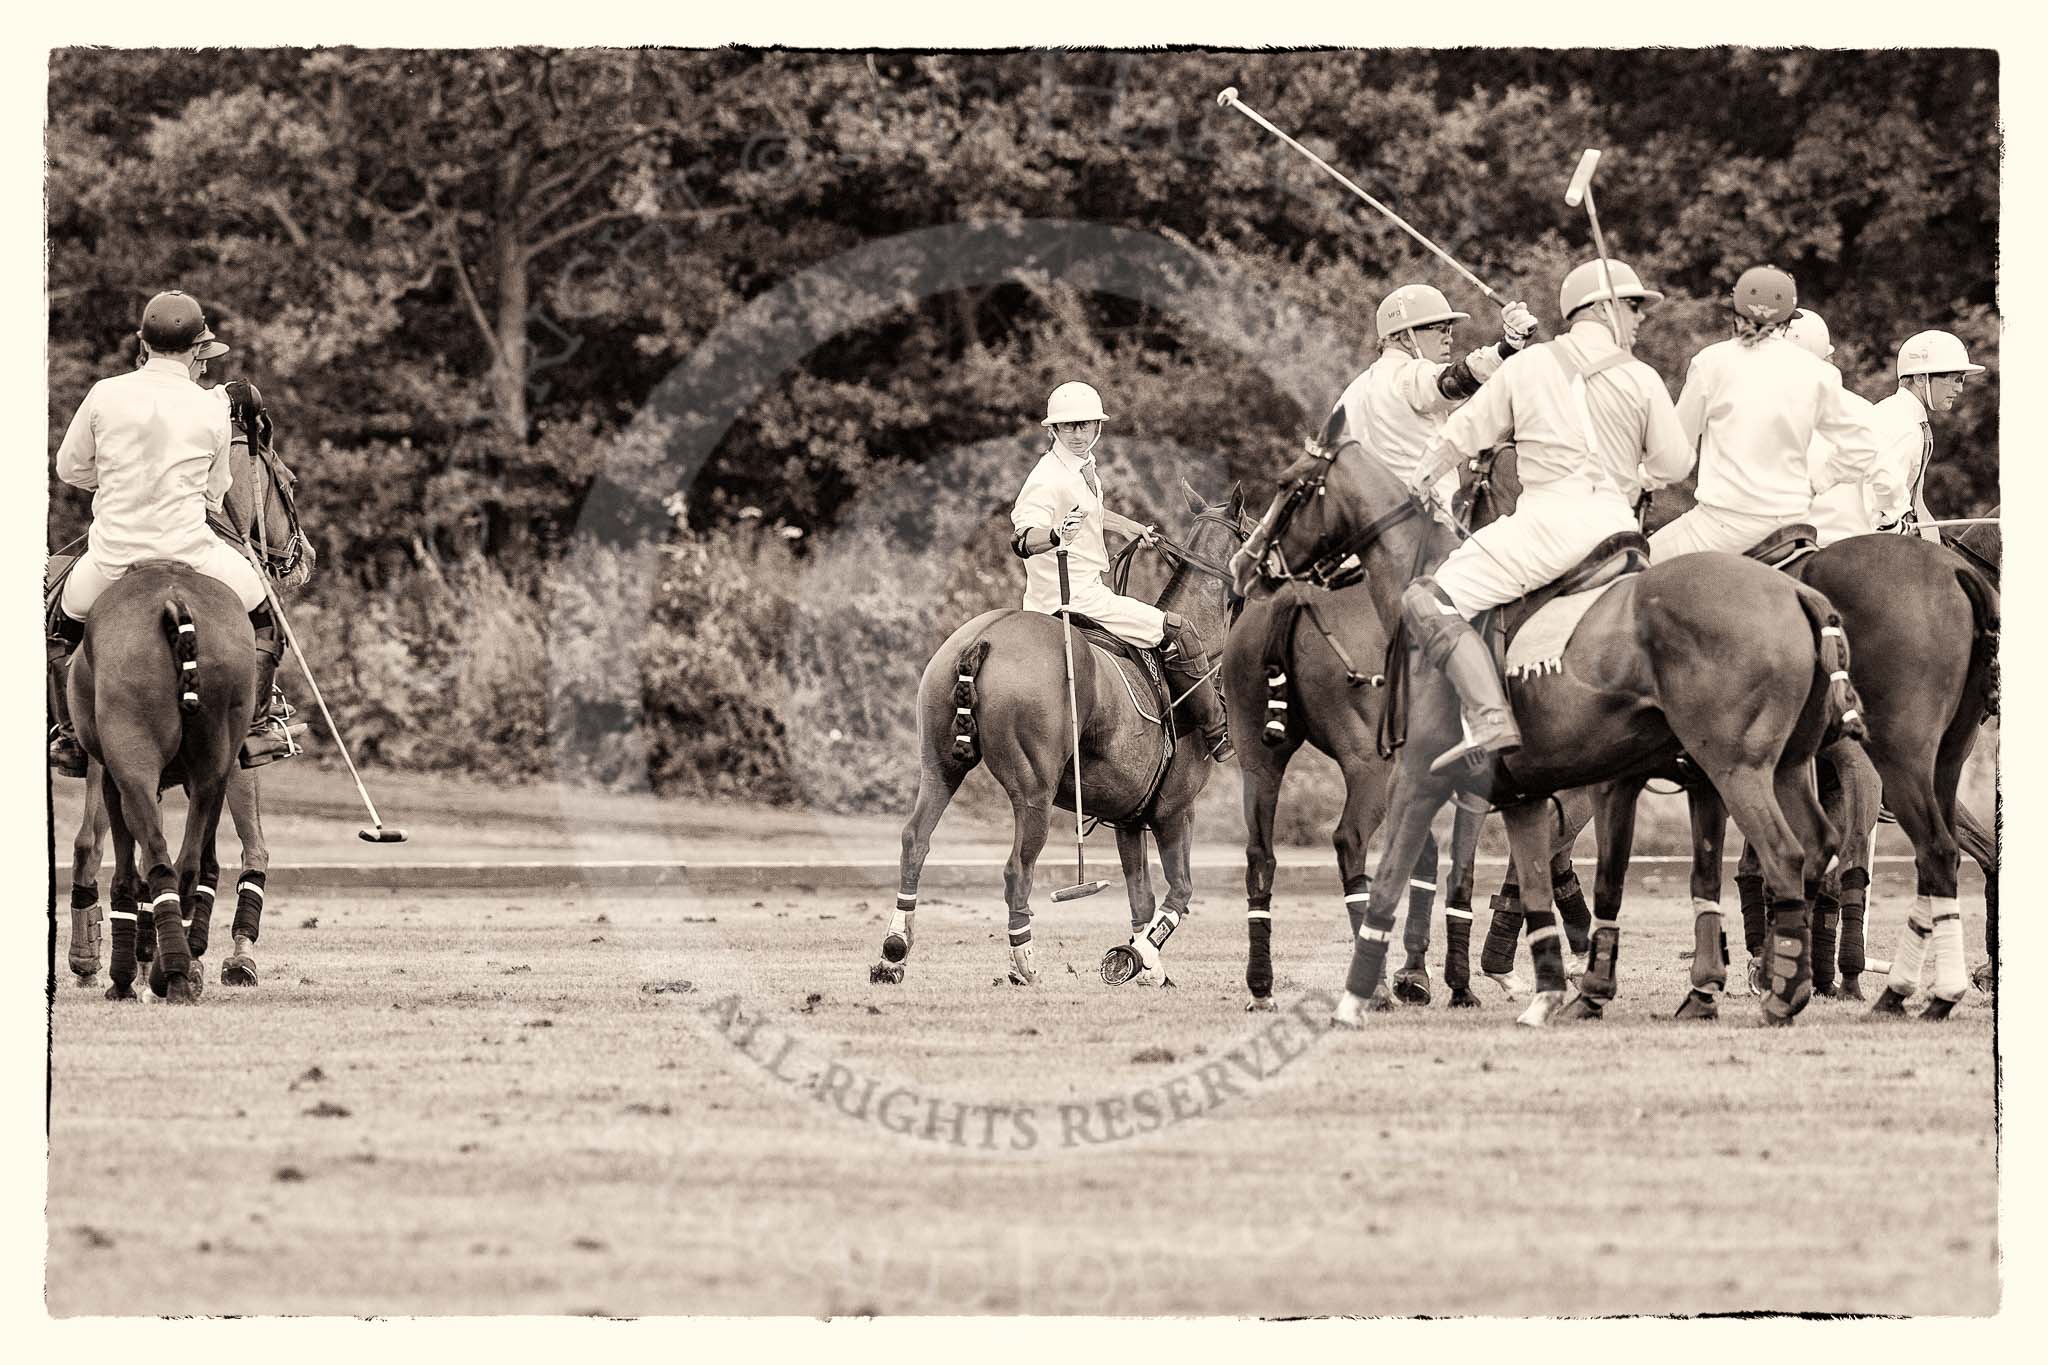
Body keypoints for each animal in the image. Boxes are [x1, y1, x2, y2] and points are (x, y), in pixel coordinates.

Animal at [72, 564, 258, 1002]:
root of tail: (174, 600)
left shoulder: (112, 773)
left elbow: (125, 869)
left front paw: (123, 977)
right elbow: (202, 862)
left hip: (132, 755)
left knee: (155, 856)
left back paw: (163, 971)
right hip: (214, 762)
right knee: (188, 866)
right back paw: (176, 970)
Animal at [868, 485, 1236, 986]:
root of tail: (983, 639)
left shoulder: (1128, 816)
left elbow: (1140, 896)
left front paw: (1147, 968)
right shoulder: (1176, 809)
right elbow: (1180, 891)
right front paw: (1133, 956)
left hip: (939, 763)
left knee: (914, 840)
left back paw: (894, 951)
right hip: (1033, 790)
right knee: (1016, 868)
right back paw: (1023, 960)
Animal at [1228, 444, 1875, 1031]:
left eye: (1289, 486)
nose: (1245, 564)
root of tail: (1798, 591)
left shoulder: (1422, 779)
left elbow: (1403, 881)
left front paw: (1359, 999)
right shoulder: (1540, 794)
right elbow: (1567, 882)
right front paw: (1564, 991)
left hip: (1737, 768)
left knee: (1789, 854)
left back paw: (1782, 994)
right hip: (1779, 767)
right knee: (1818, 845)